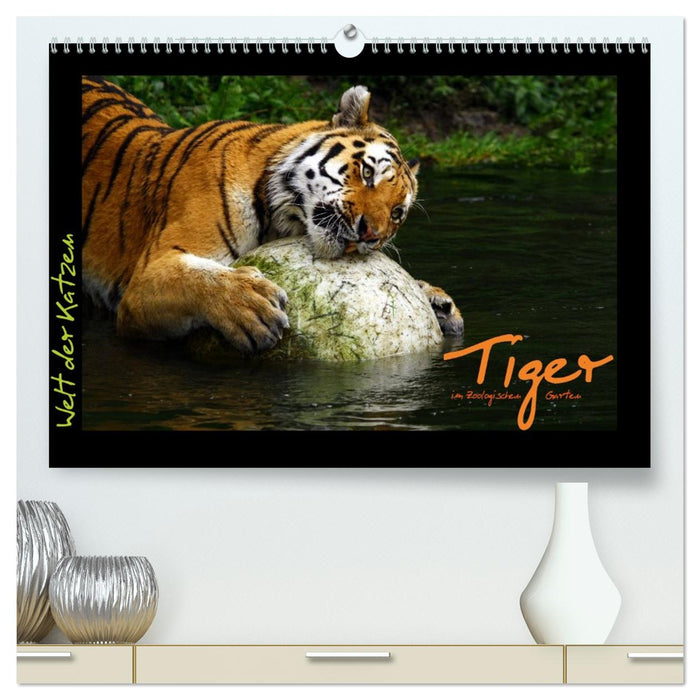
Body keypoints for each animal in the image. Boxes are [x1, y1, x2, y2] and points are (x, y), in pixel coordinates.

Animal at [81, 76, 464, 354]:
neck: (280, 218)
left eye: (397, 212)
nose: (371, 234)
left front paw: (437, 302)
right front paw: (250, 307)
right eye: (368, 173)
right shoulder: (143, 279)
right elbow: (195, 277)